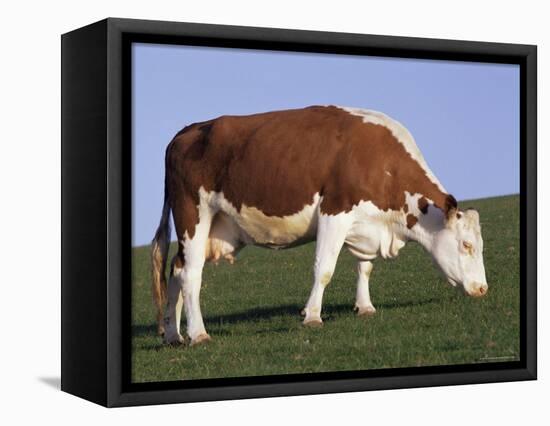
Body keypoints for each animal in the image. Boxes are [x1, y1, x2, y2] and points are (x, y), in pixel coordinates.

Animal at [150, 105, 488, 346]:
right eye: (466, 245)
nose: (483, 288)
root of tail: (188, 130)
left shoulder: (365, 224)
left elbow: (365, 267)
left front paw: (365, 307)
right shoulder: (334, 212)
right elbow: (324, 269)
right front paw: (312, 315)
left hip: (214, 228)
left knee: (177, 270)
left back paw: (173, 334)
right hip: (193, 215)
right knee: (191, 275)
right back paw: (198, 334)